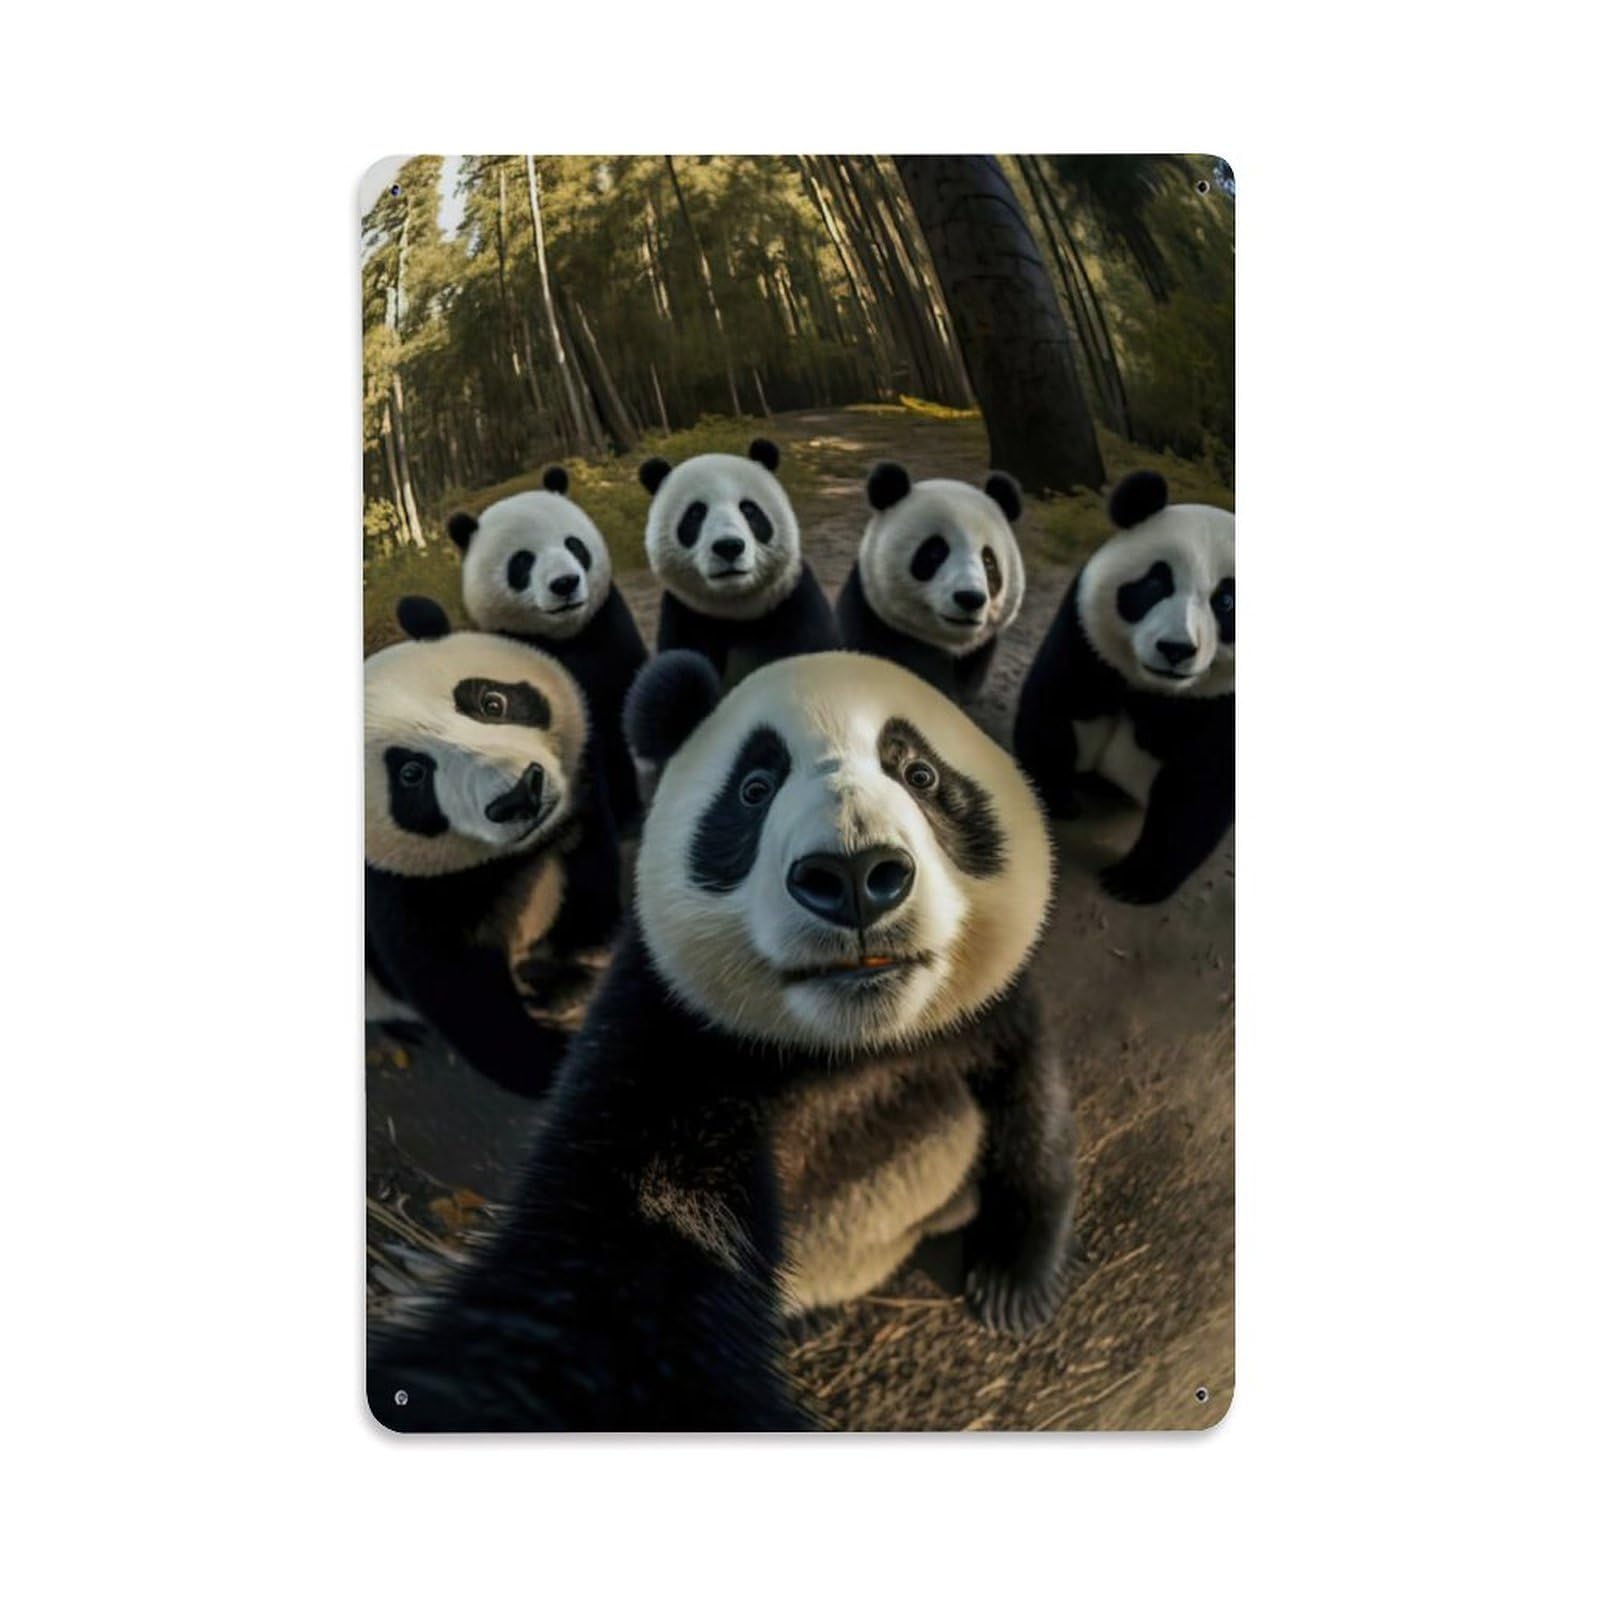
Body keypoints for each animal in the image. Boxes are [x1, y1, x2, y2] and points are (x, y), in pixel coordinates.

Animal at [364, 597, 622, 1098]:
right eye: (411, 774)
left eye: (492, 703)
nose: (519, 796)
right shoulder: (394, 891)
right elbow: (462, 1000)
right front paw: (552, 1066)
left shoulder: (577, 803)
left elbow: (590, 868)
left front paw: (573, 965)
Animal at [369, 649, 1075, 1431]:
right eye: (754, 790)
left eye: (919, 774)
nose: (855, 876)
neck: (851, 1043)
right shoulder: (669, 1042)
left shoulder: (987, 1010)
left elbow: (1028, 1095)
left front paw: (1014, 1284)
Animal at [640, 437, 839, 686]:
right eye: (695, 513)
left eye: (749, 509)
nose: (728, 546)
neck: (737, 612)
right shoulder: (685, 619)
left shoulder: (797, 606)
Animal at [1013, 469, 1235, 905]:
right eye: (1155, 585)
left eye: (1226, 602)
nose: (1176, 649)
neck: (1152, 688)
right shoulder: (1084, 634)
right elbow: (1054, 706)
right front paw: (1054, 799)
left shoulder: (1225, 701)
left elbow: (1200, 789)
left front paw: (1132, 882)